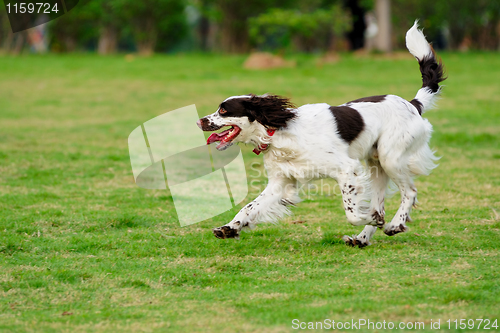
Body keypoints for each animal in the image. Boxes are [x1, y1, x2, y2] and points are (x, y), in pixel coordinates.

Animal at [195, 20, 446, 244]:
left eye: (223, 110)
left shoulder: (346, 169)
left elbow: (352, 212)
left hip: (390, 158)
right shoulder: (280, 182)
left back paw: (395, 225)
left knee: (409, 192)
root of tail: (413, 104)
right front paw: (230, 228)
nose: (199, 121)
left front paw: (371, 218)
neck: (279, 133)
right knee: (380, 202)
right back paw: (362, 239)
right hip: (377, 165)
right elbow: (249, 207)